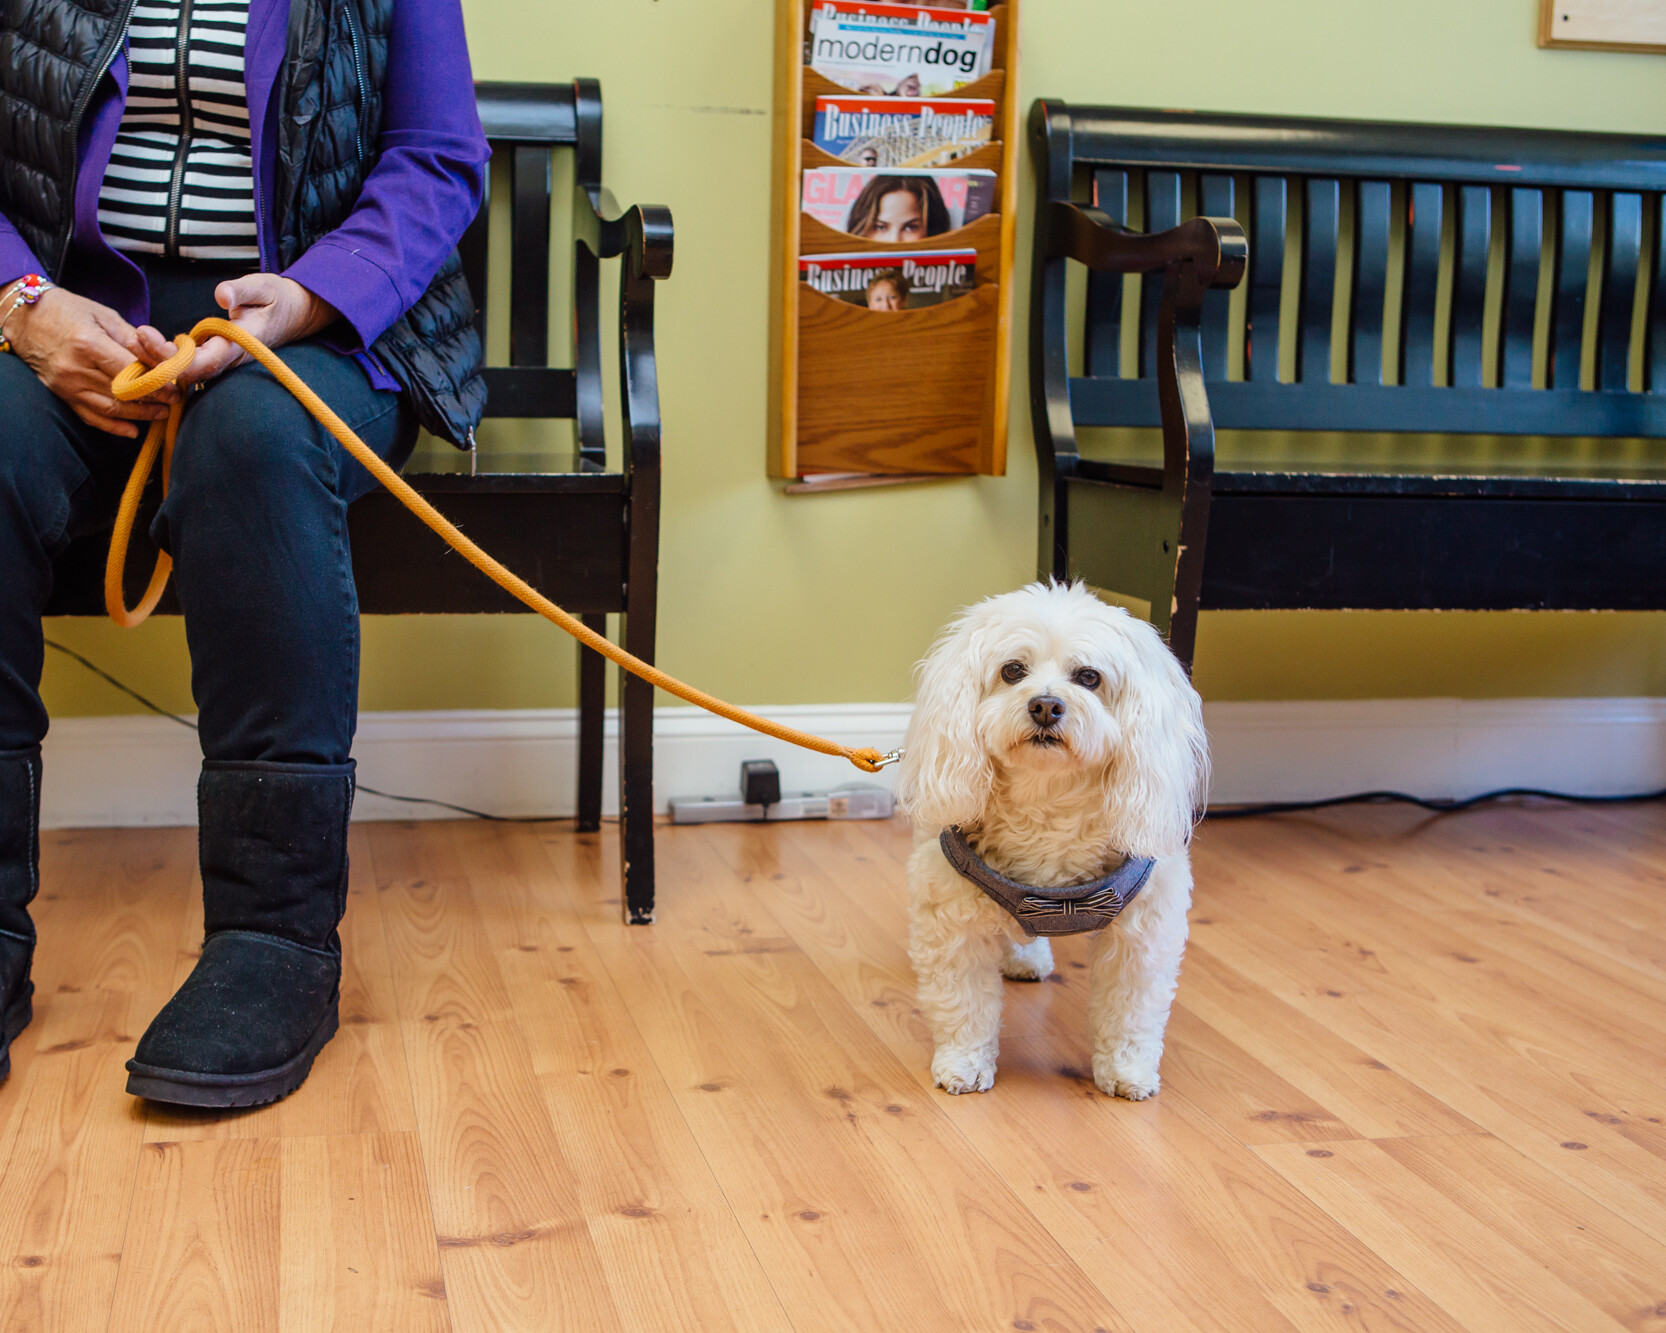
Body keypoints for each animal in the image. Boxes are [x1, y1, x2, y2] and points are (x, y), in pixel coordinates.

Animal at [899, 579, 1212, 1093]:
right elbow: (964, 1005)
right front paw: (963, 1064)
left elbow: (1130, 1011)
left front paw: (1126, 1071)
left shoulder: (1144, 932)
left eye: (1088, 677)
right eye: (1012, 671)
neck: (1047, 799)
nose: (1045, 705)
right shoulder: (952, 918)